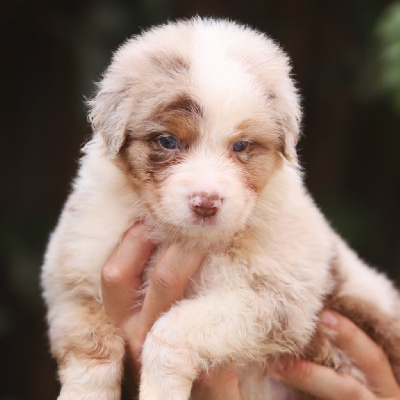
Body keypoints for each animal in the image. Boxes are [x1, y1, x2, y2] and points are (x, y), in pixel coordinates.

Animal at [41, 18, 400, 400]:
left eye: (241, 146)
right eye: (168, 141)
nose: (206, 203)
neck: (179, 236)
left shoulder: (276, 299)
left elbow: (173, 329)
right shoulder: (72, 279)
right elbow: (90, 349)